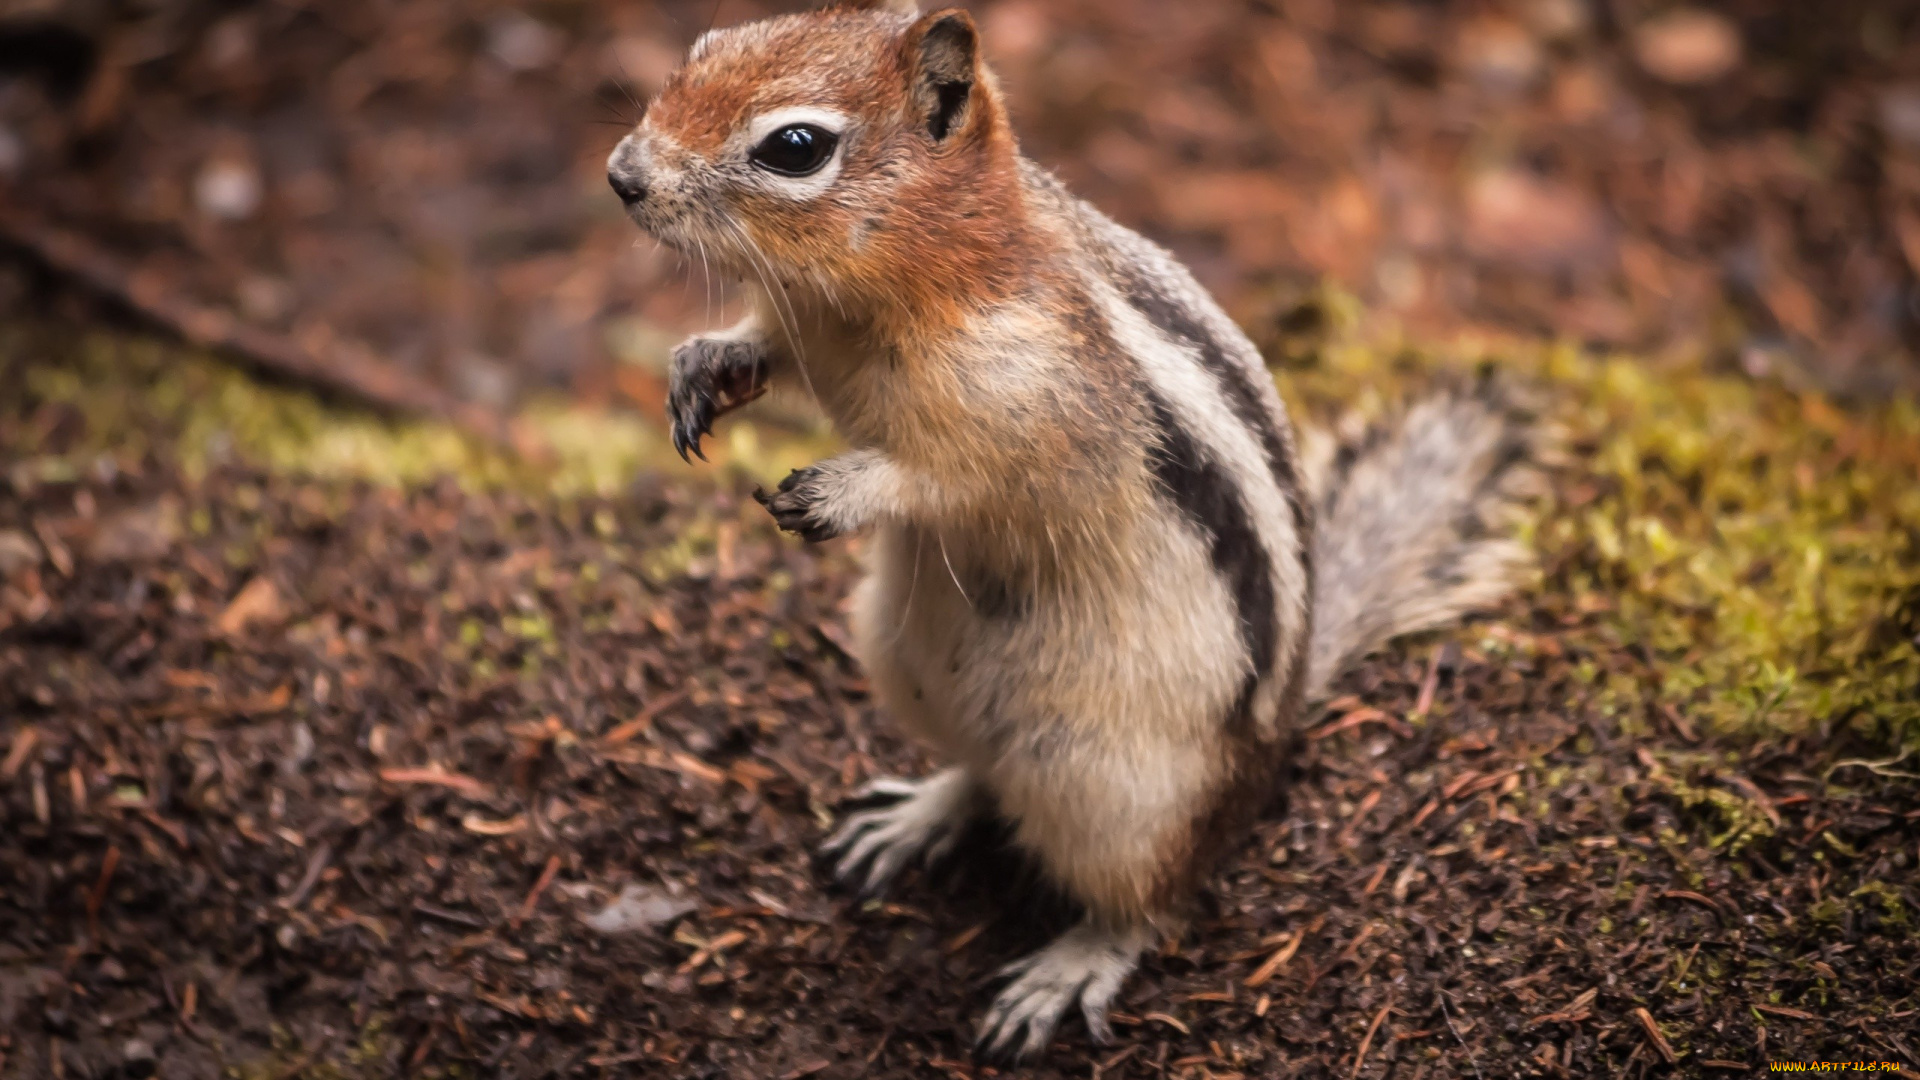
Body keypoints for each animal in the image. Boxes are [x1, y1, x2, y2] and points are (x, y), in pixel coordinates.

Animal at [606, 0, 1551, 1053]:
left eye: (795, 147)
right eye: (706, 46)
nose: (622, 175)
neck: (896, 280)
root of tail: (1275, 739)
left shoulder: (1037, 404)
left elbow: (950, 478)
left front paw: (842, 490)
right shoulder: (804, 326)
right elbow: (763, 344)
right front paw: (705, 361)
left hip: (1118, 790)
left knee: (1152, 895)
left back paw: (1075, 962)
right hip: (903, 661)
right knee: (984, 775)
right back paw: (917, 815)